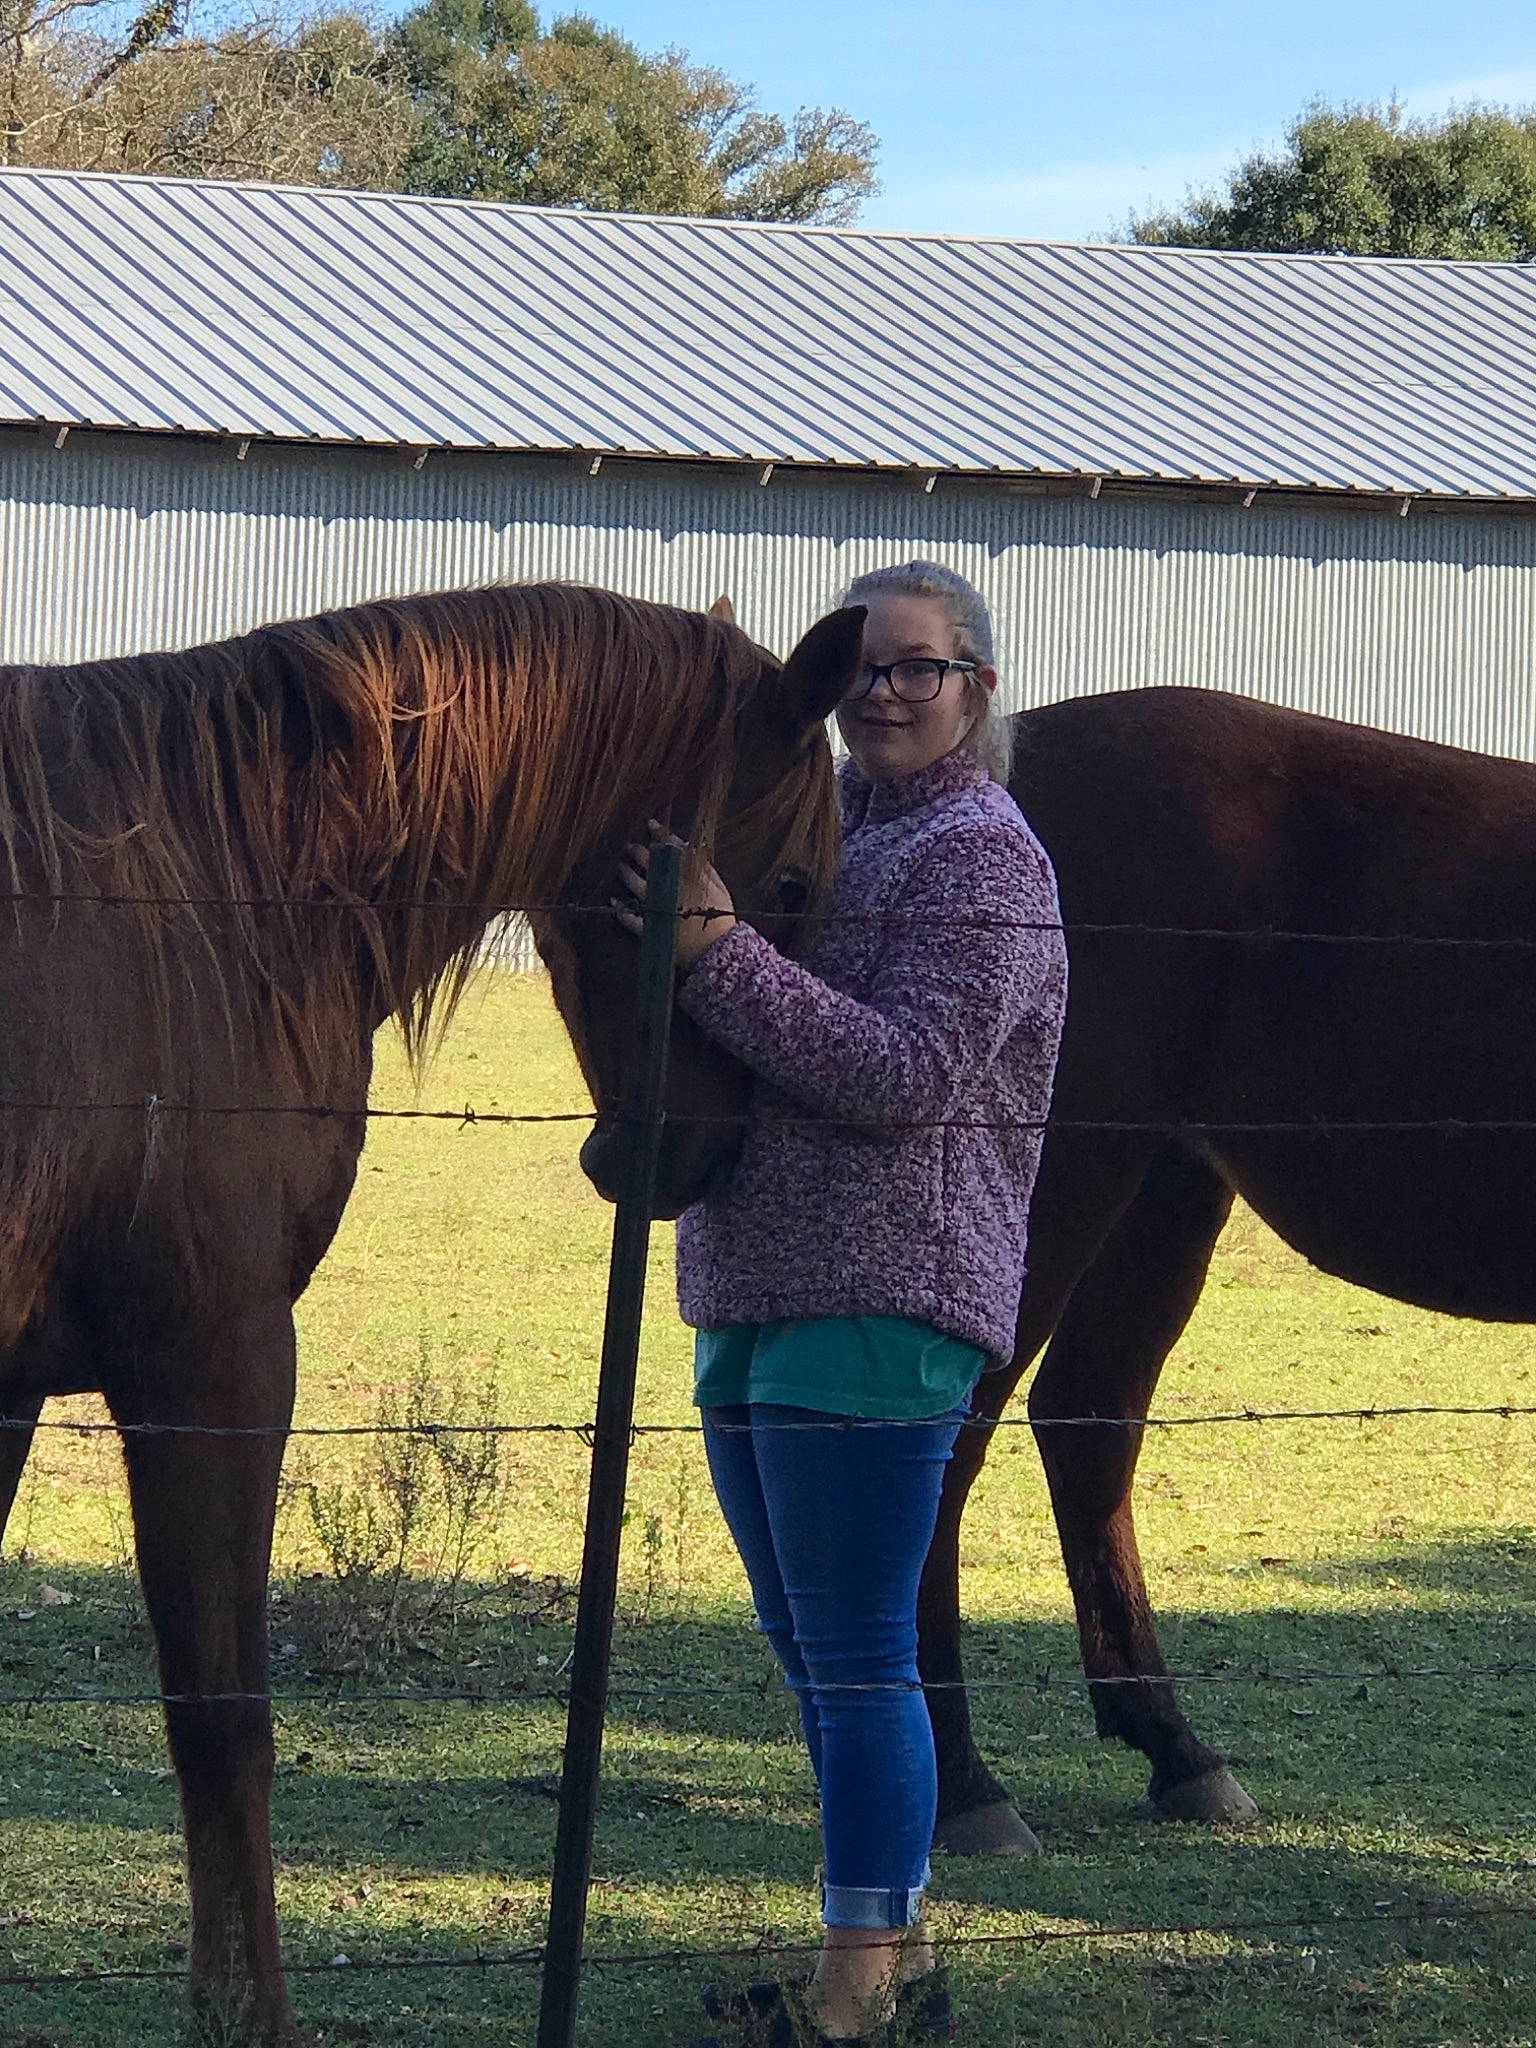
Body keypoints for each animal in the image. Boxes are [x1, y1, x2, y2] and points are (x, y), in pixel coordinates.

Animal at [0, 581, 861, 2039]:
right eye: (790, 886)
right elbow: (223, 1717)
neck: (216, 890)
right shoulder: (215, 1368)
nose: (690, 1162)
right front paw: (248, 2014)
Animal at [572, 676, 1536, 1857]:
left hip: (1166, 1180)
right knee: (957, 1448)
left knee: (1088, 1422)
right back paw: (968, 1784)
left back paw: (1174, 1747)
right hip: (1077, 1178)